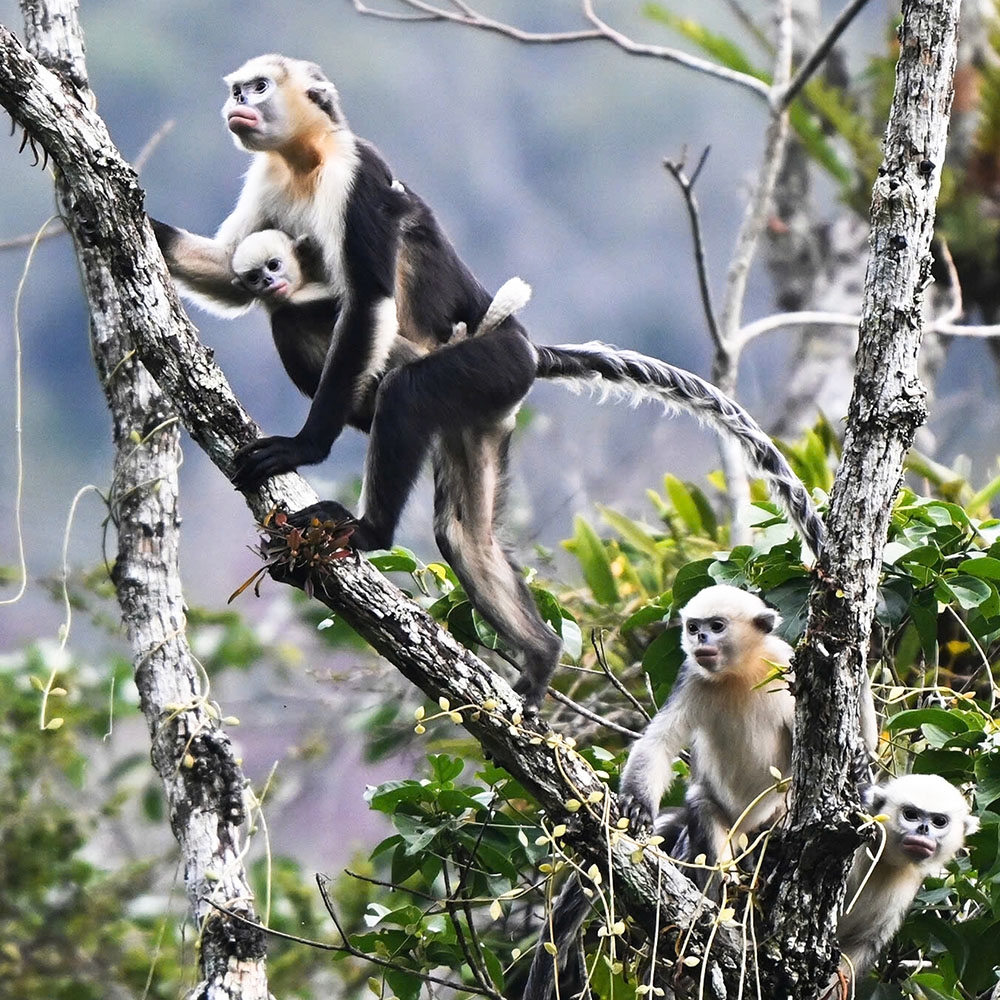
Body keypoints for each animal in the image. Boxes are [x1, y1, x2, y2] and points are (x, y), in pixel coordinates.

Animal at [152, 54, 826, 712]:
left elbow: (367, 297)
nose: (238, 104)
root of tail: (528, 348)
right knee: (463, 534)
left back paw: (369, 527)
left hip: (489, 364)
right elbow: (227, 268)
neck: (305, 161)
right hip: (483, 412)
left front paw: (305, 448)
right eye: (239, 88)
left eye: (259, 87)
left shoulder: (357, 175)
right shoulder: (266, 179)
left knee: (393, 383)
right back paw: (541, 654)